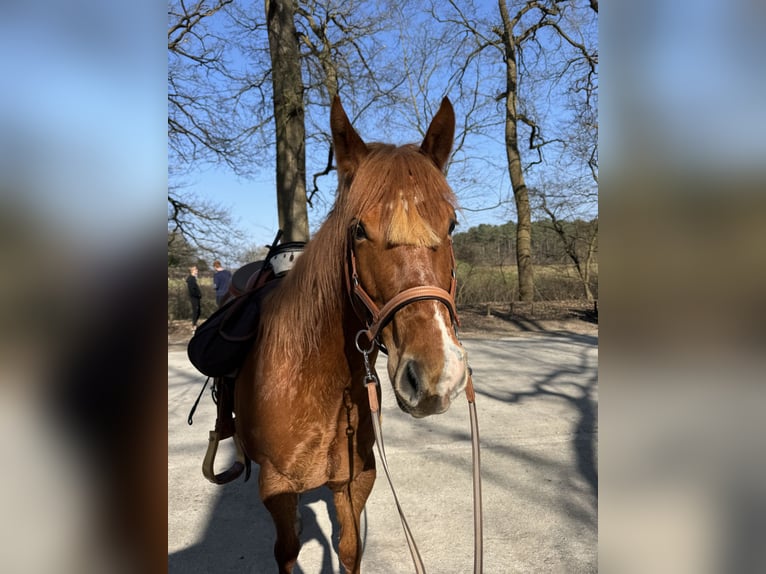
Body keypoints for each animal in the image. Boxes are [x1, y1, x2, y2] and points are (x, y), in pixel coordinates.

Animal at [234, 96, 469, 573]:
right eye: (359, 230)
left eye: (452, 225)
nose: (437, 375)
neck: (313, 383)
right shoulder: (277, 490)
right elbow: (287, 553)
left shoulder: (354, 482)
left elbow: (348, 549)